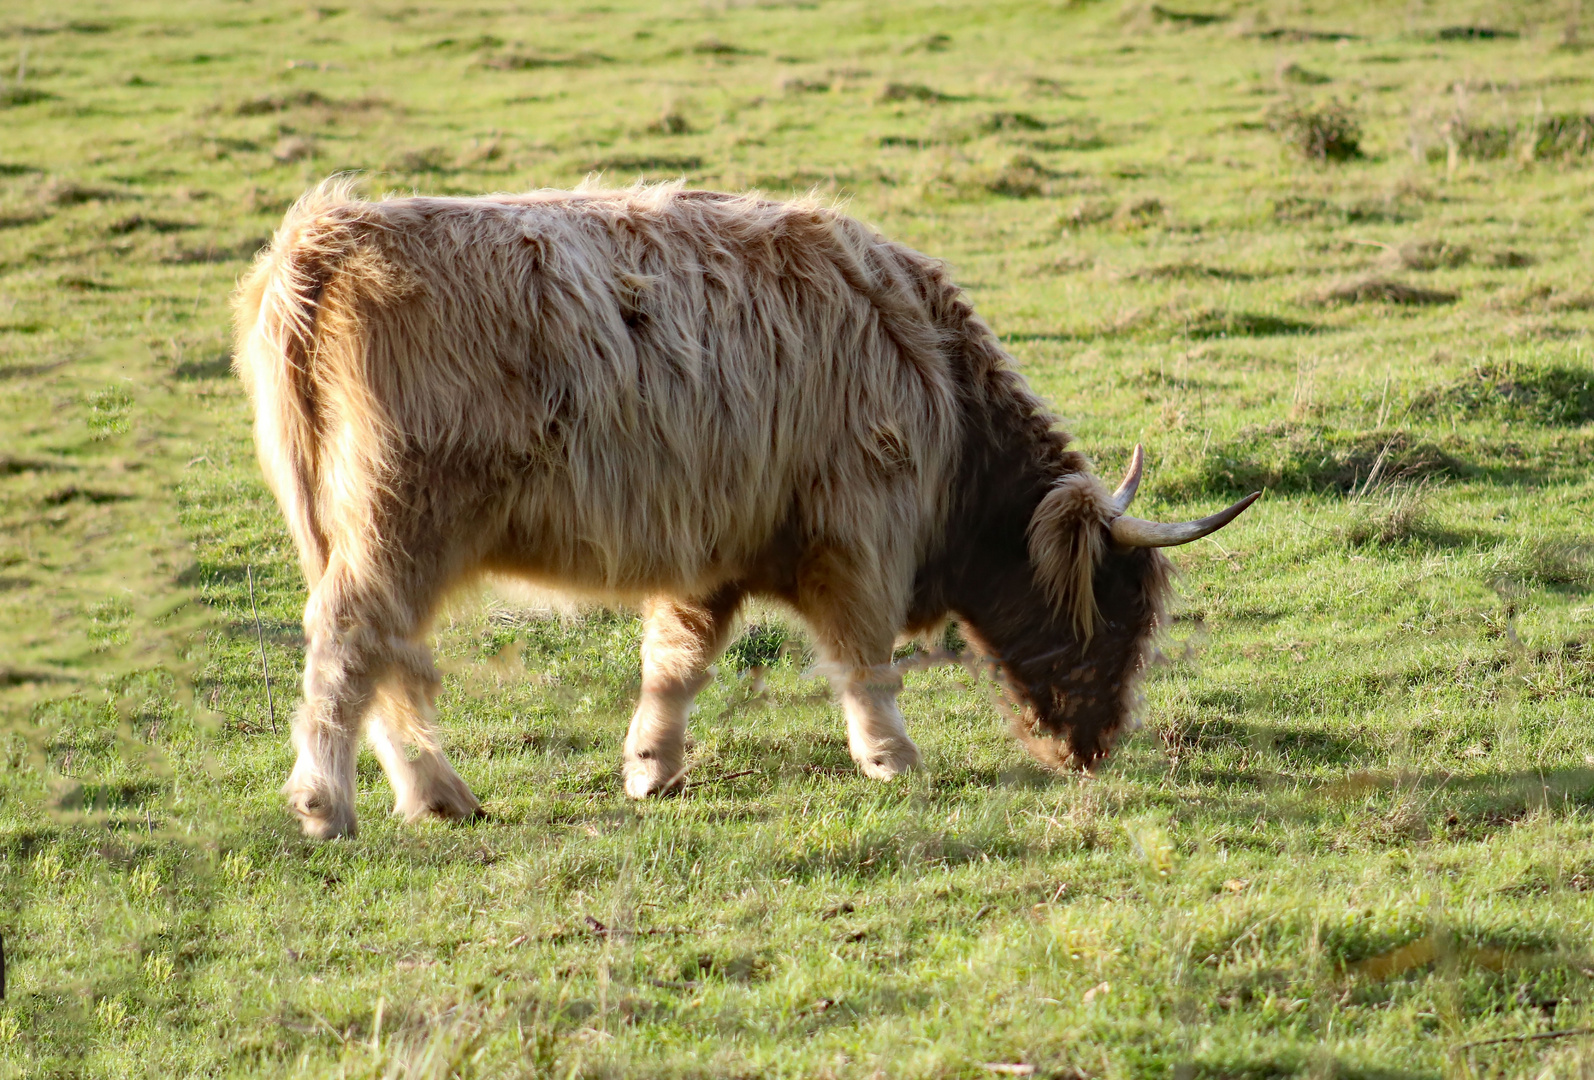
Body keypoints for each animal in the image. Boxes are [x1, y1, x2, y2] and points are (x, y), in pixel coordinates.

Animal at [232, 177, 1256, 841]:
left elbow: (676, 664)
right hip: (401, 526)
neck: (948, 406)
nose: (1096, 748)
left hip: (355, 534)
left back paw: (437, 795)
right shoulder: (858, 530)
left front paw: (651, 769)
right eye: (1119, 607)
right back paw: (328, 806)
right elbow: (861, 657)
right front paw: (892, 757)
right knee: (352, 643)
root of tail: (329, 235)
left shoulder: (713, 549)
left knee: (387, 659)